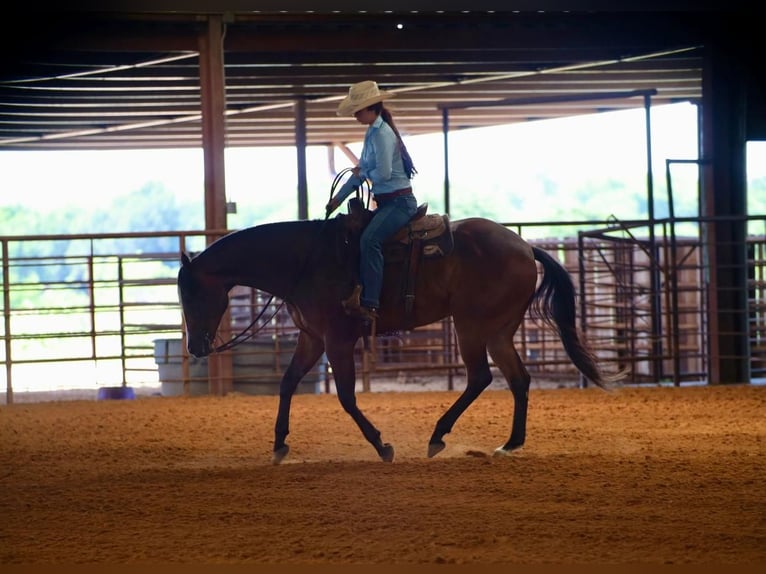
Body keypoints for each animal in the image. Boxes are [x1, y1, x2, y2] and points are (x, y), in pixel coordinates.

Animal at [177, 200, 620, 466]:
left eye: (193, 294)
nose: (196, 347)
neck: (305, 261)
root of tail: (526, 248)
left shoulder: (337, 340)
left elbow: (346, 397)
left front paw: (382, 445)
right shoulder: (312, 338)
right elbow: (286, 384)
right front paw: (279, 445)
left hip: (471, 324)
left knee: (480, 376)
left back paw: (438, 437)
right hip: (498, 330)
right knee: (518, 379)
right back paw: (510, 444)